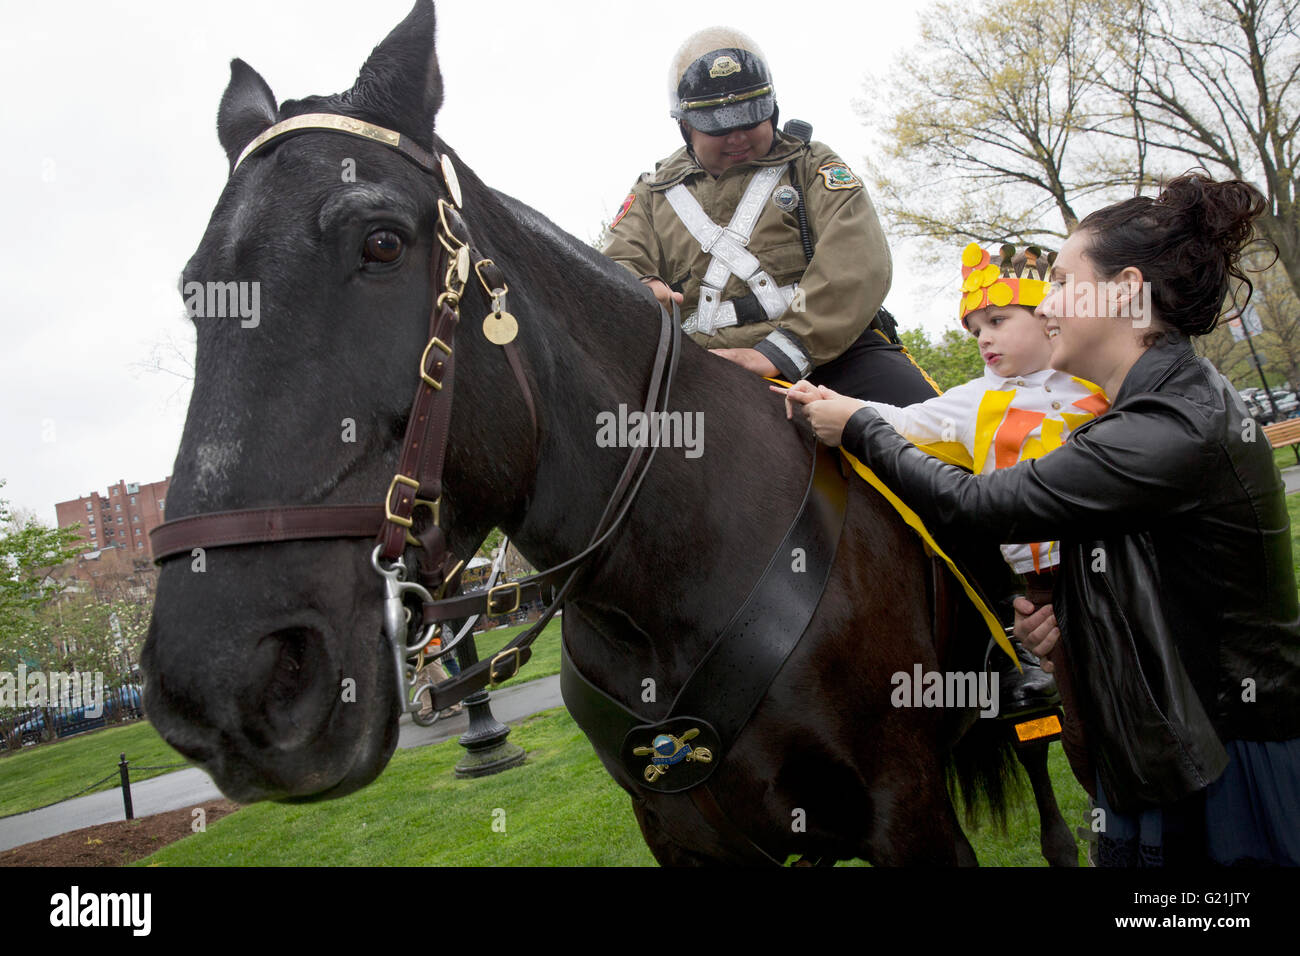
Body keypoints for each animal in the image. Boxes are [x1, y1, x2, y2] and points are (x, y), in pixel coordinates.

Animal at [142, 0, 1077, 866]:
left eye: (382, 242)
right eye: (196, 289)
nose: (219, 683)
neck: (663, 579)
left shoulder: (906, 811)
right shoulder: (684, 835)